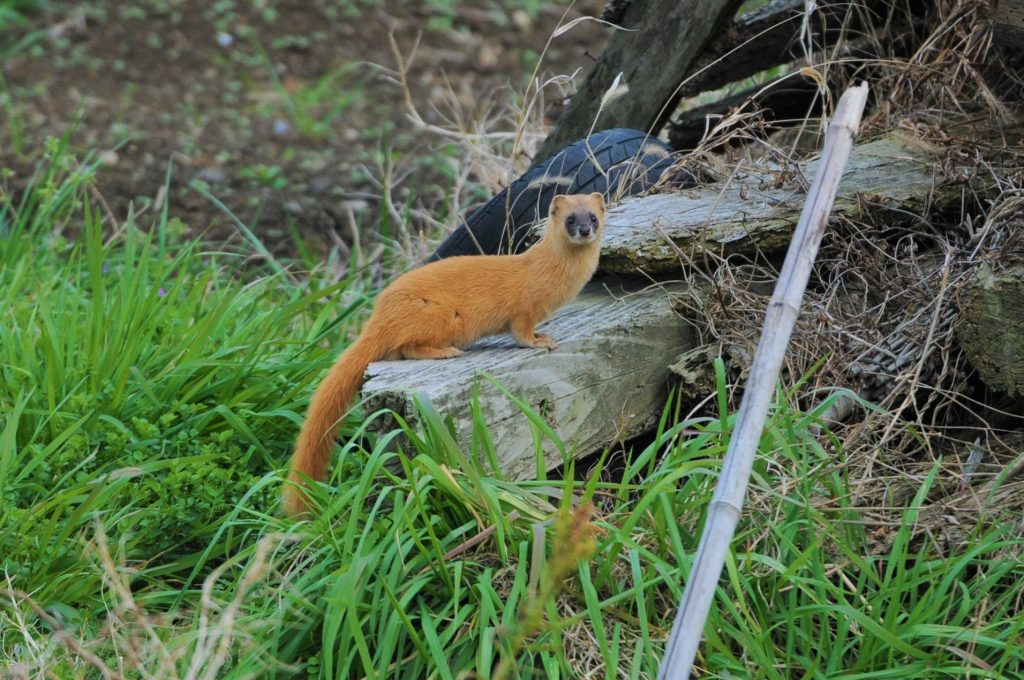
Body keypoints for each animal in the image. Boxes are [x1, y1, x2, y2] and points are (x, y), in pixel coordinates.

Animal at [284, 191, 602, 516]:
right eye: (571, 219)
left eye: (593, 216)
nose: (585, 229)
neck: (551, 274)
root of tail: (380, 312)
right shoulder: (524, 310)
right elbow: (522, 332)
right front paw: (541, 341)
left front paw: (545, 335)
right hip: (440, 315)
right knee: (408, 347)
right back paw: (446, 352)